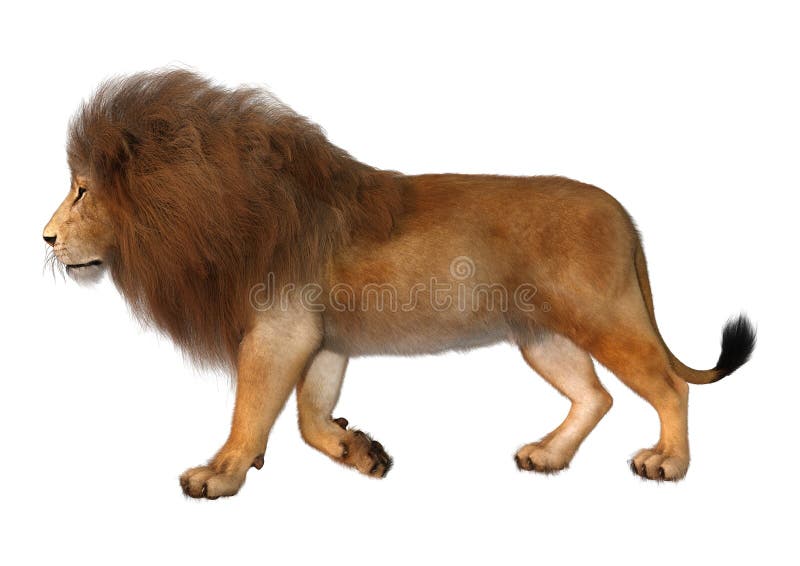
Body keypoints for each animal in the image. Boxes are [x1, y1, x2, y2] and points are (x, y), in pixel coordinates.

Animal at [44, 70, 755, 499]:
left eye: (82, 191)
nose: (45, 238)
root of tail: (625, 216)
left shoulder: (279, 330)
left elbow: (251, 411)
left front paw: (219, 474)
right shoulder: (321, 338)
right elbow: (307, 416)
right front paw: (360, 451)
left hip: (604, 316)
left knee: (667, 388)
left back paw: (667, 463)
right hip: (543, 337)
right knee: (596, 396)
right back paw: (548, 456)